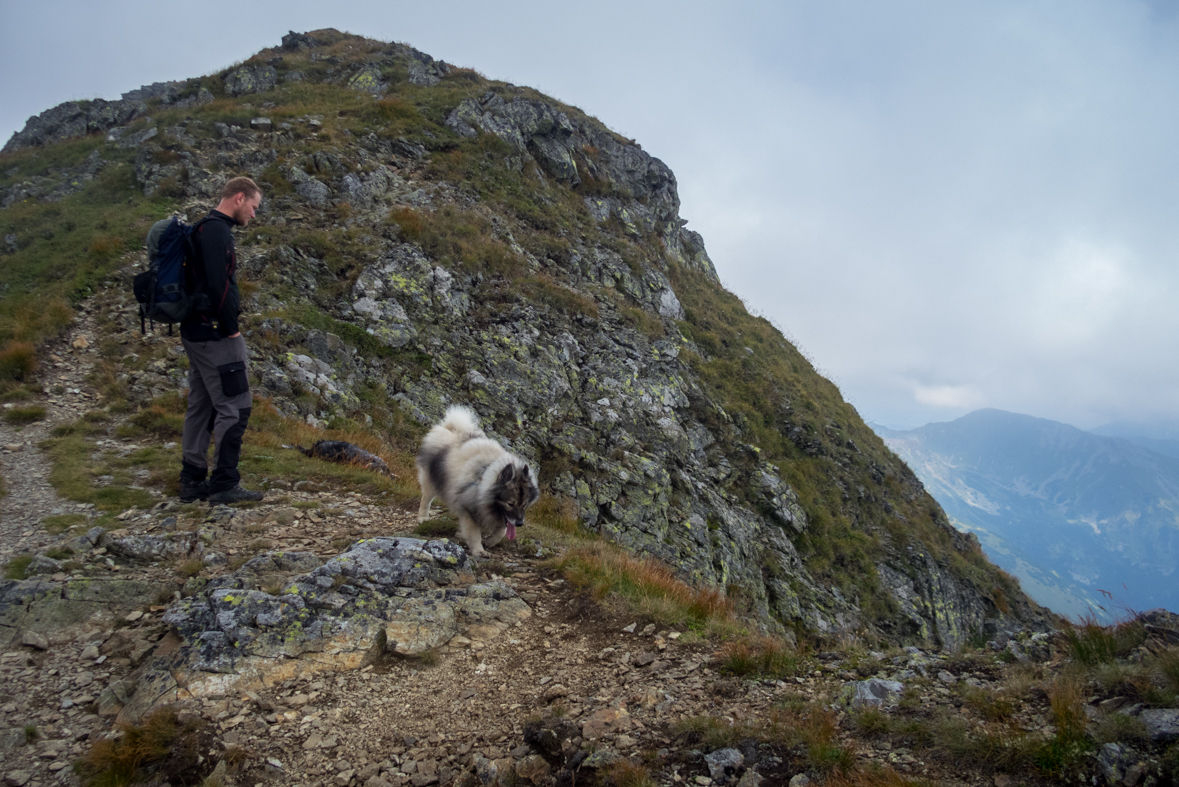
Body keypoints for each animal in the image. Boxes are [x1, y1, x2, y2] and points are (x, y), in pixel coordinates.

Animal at [417, 409, 539, 556]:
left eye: (525, 504)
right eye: (510, 504)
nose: (520, 523)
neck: (483, 480)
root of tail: (452, 428)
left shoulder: (500, 517)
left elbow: (502, 531)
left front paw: (490, 541)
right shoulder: (469, 509)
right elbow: (474, 533)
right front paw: (479, 550)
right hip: (430, 479)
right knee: (426, 498)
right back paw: (422, 517)